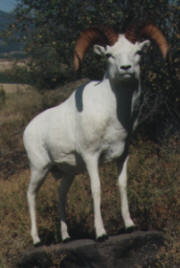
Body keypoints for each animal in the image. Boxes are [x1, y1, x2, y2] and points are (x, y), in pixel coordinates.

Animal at [23, 23, 169, 245]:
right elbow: (96, 189)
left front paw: (129, 225)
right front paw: (101, 233)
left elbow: (122, 185)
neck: (113, 113)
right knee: (31, 195)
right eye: (109, 55)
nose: (125, 69)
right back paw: (36, 240)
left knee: (61, 194)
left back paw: (66, 237)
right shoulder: (91, 157)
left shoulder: (123, 156)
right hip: (39, 168)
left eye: (137, 52)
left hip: (68, 173)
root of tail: (28, 129)